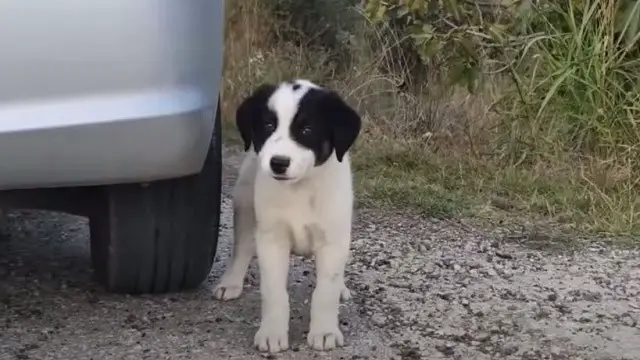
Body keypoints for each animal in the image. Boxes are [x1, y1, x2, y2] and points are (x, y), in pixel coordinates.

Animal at [214, 79, 360, 352]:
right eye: (269, 125)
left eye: (307, 129)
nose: (278, 163)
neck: (299, 189)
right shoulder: (272, 240)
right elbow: (274, 292)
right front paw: (272, 333)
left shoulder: (332, 240)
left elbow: (325, 291)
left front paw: (324, 331)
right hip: (245, 204)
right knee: (242, 248)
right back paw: (231, 282)